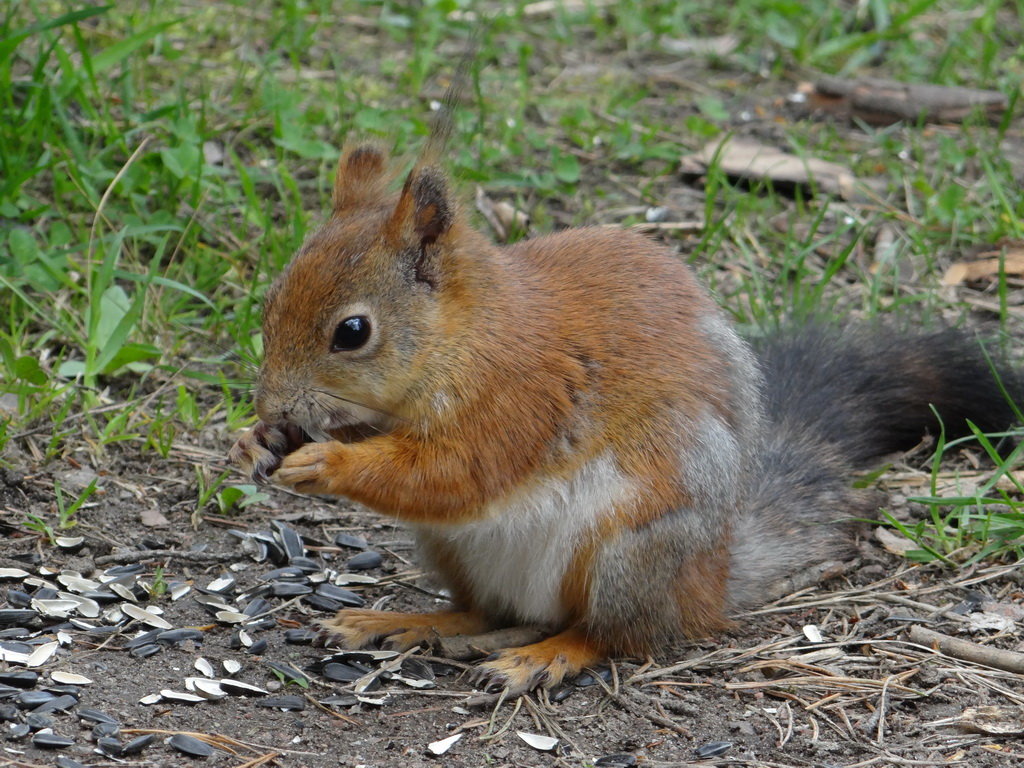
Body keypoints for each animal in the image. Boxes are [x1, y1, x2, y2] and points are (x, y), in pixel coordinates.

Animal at [228, 121, 1019, 696]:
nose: (270, 400)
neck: (464, 337)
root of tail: (710, 584)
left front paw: (325, 461)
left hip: (632, 549)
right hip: (457, 550)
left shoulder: (522, 398)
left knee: (613, 635)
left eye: (352, 332)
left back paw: (544, 655)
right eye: (270, 301)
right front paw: (255, 440)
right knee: (486, 610)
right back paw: (402, 620)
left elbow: (451, 473)